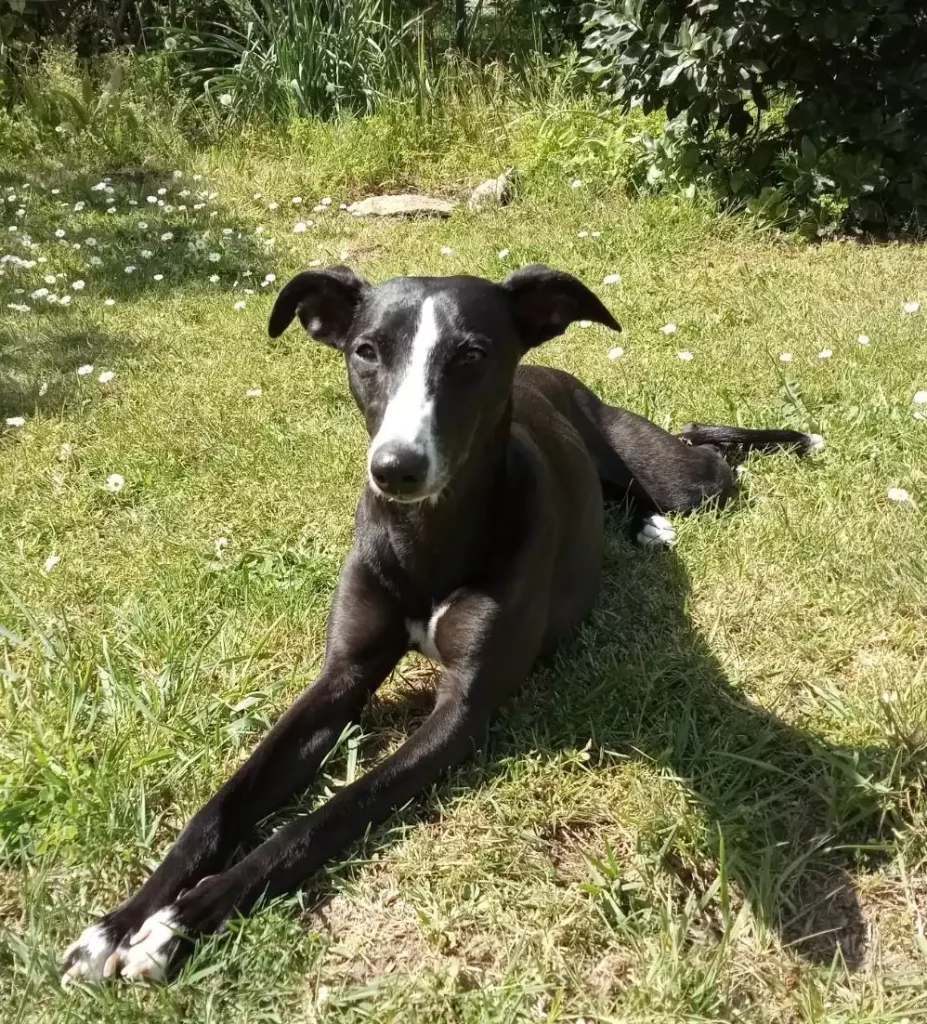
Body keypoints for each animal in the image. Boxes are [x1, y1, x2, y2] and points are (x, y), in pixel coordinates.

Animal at [61, 264, 819, 983]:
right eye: (366, 350)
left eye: (471, 354)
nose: (395, 468)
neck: (426, 537)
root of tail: (556, 375)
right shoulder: (341, 676)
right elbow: (223, 804)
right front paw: (120, 922)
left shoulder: (461, 712)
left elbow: (324, 817)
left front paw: (180, 923)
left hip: (684, 480)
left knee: (708, 457)